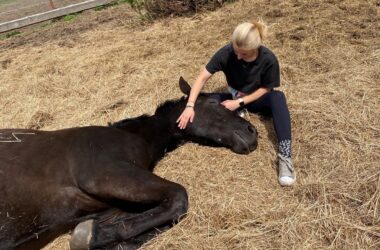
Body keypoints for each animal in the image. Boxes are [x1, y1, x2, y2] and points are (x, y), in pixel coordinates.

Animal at [0, 77, 258, 249]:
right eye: (214, 103)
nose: (252, 132)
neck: (134, 136)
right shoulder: (106, 176)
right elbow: (178, 197)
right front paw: (88, 237)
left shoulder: (107, 207)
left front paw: (97, 237)